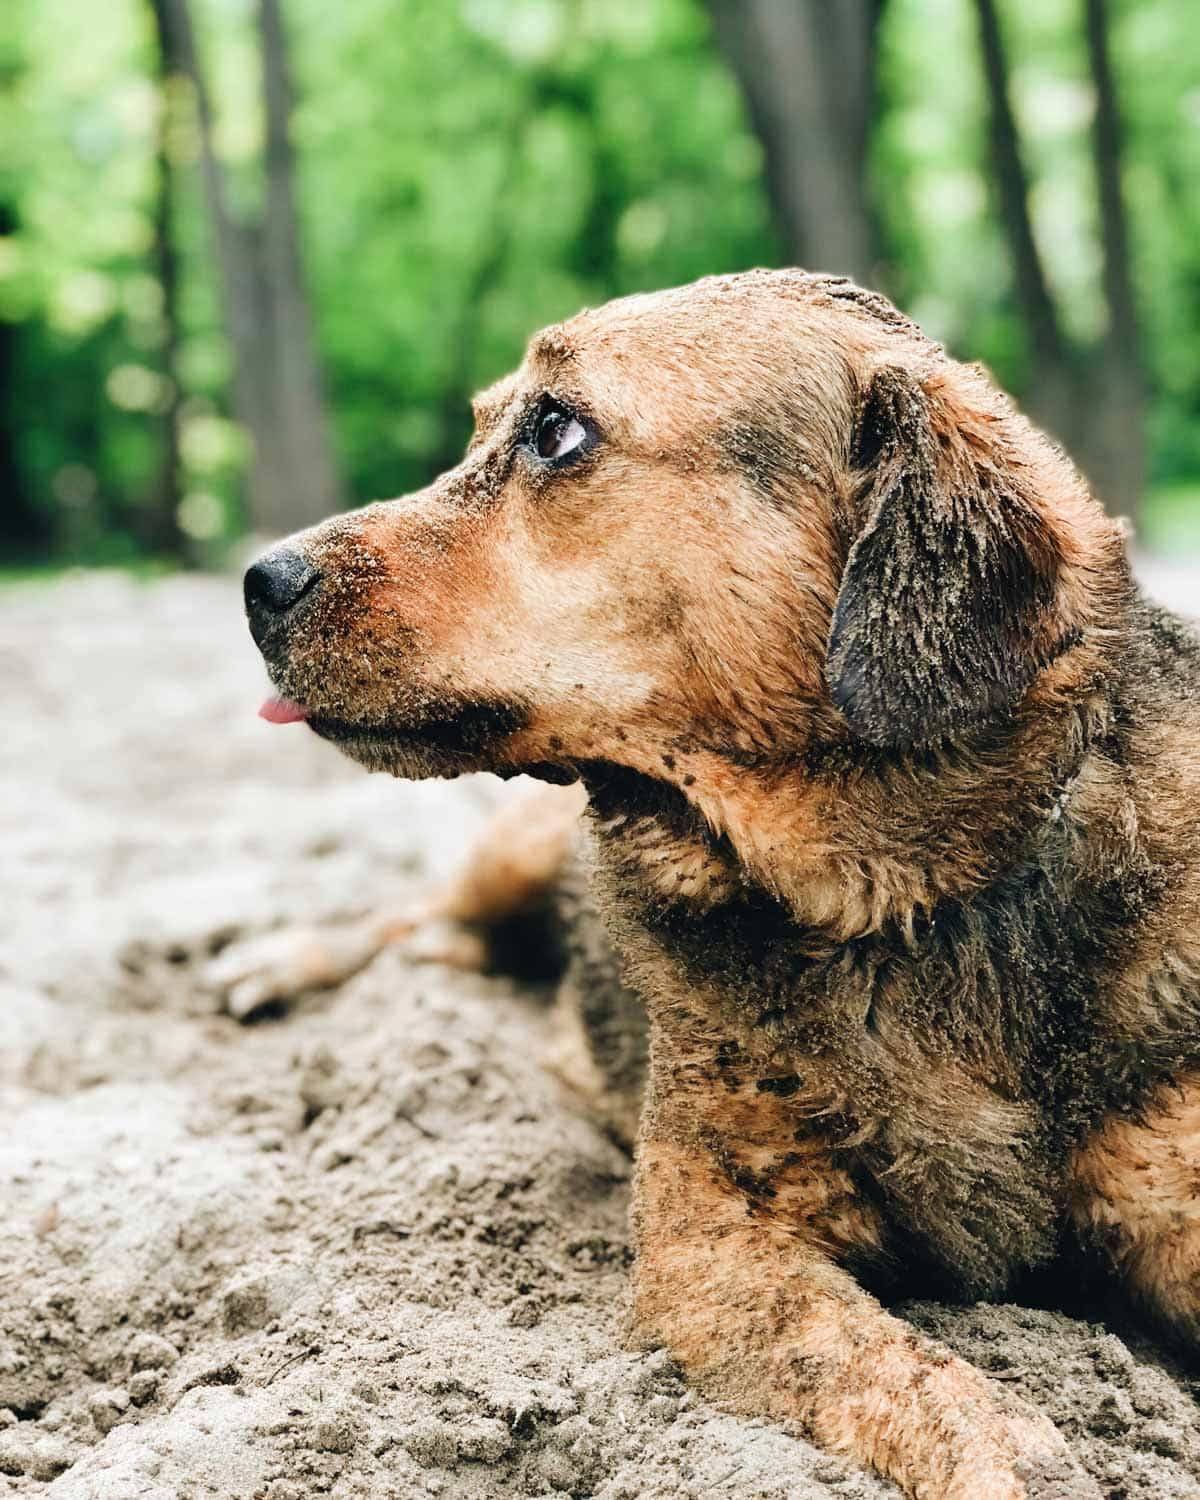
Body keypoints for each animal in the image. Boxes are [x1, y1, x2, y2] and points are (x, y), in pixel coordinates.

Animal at [234, 273, 1200, 1500]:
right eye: (485, 421)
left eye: (555, 429)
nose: (259, 580)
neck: (904, 902)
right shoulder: (717, 1244)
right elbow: (955, 1407)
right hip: (511, 858)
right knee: (415, 915)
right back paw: (277, 963)